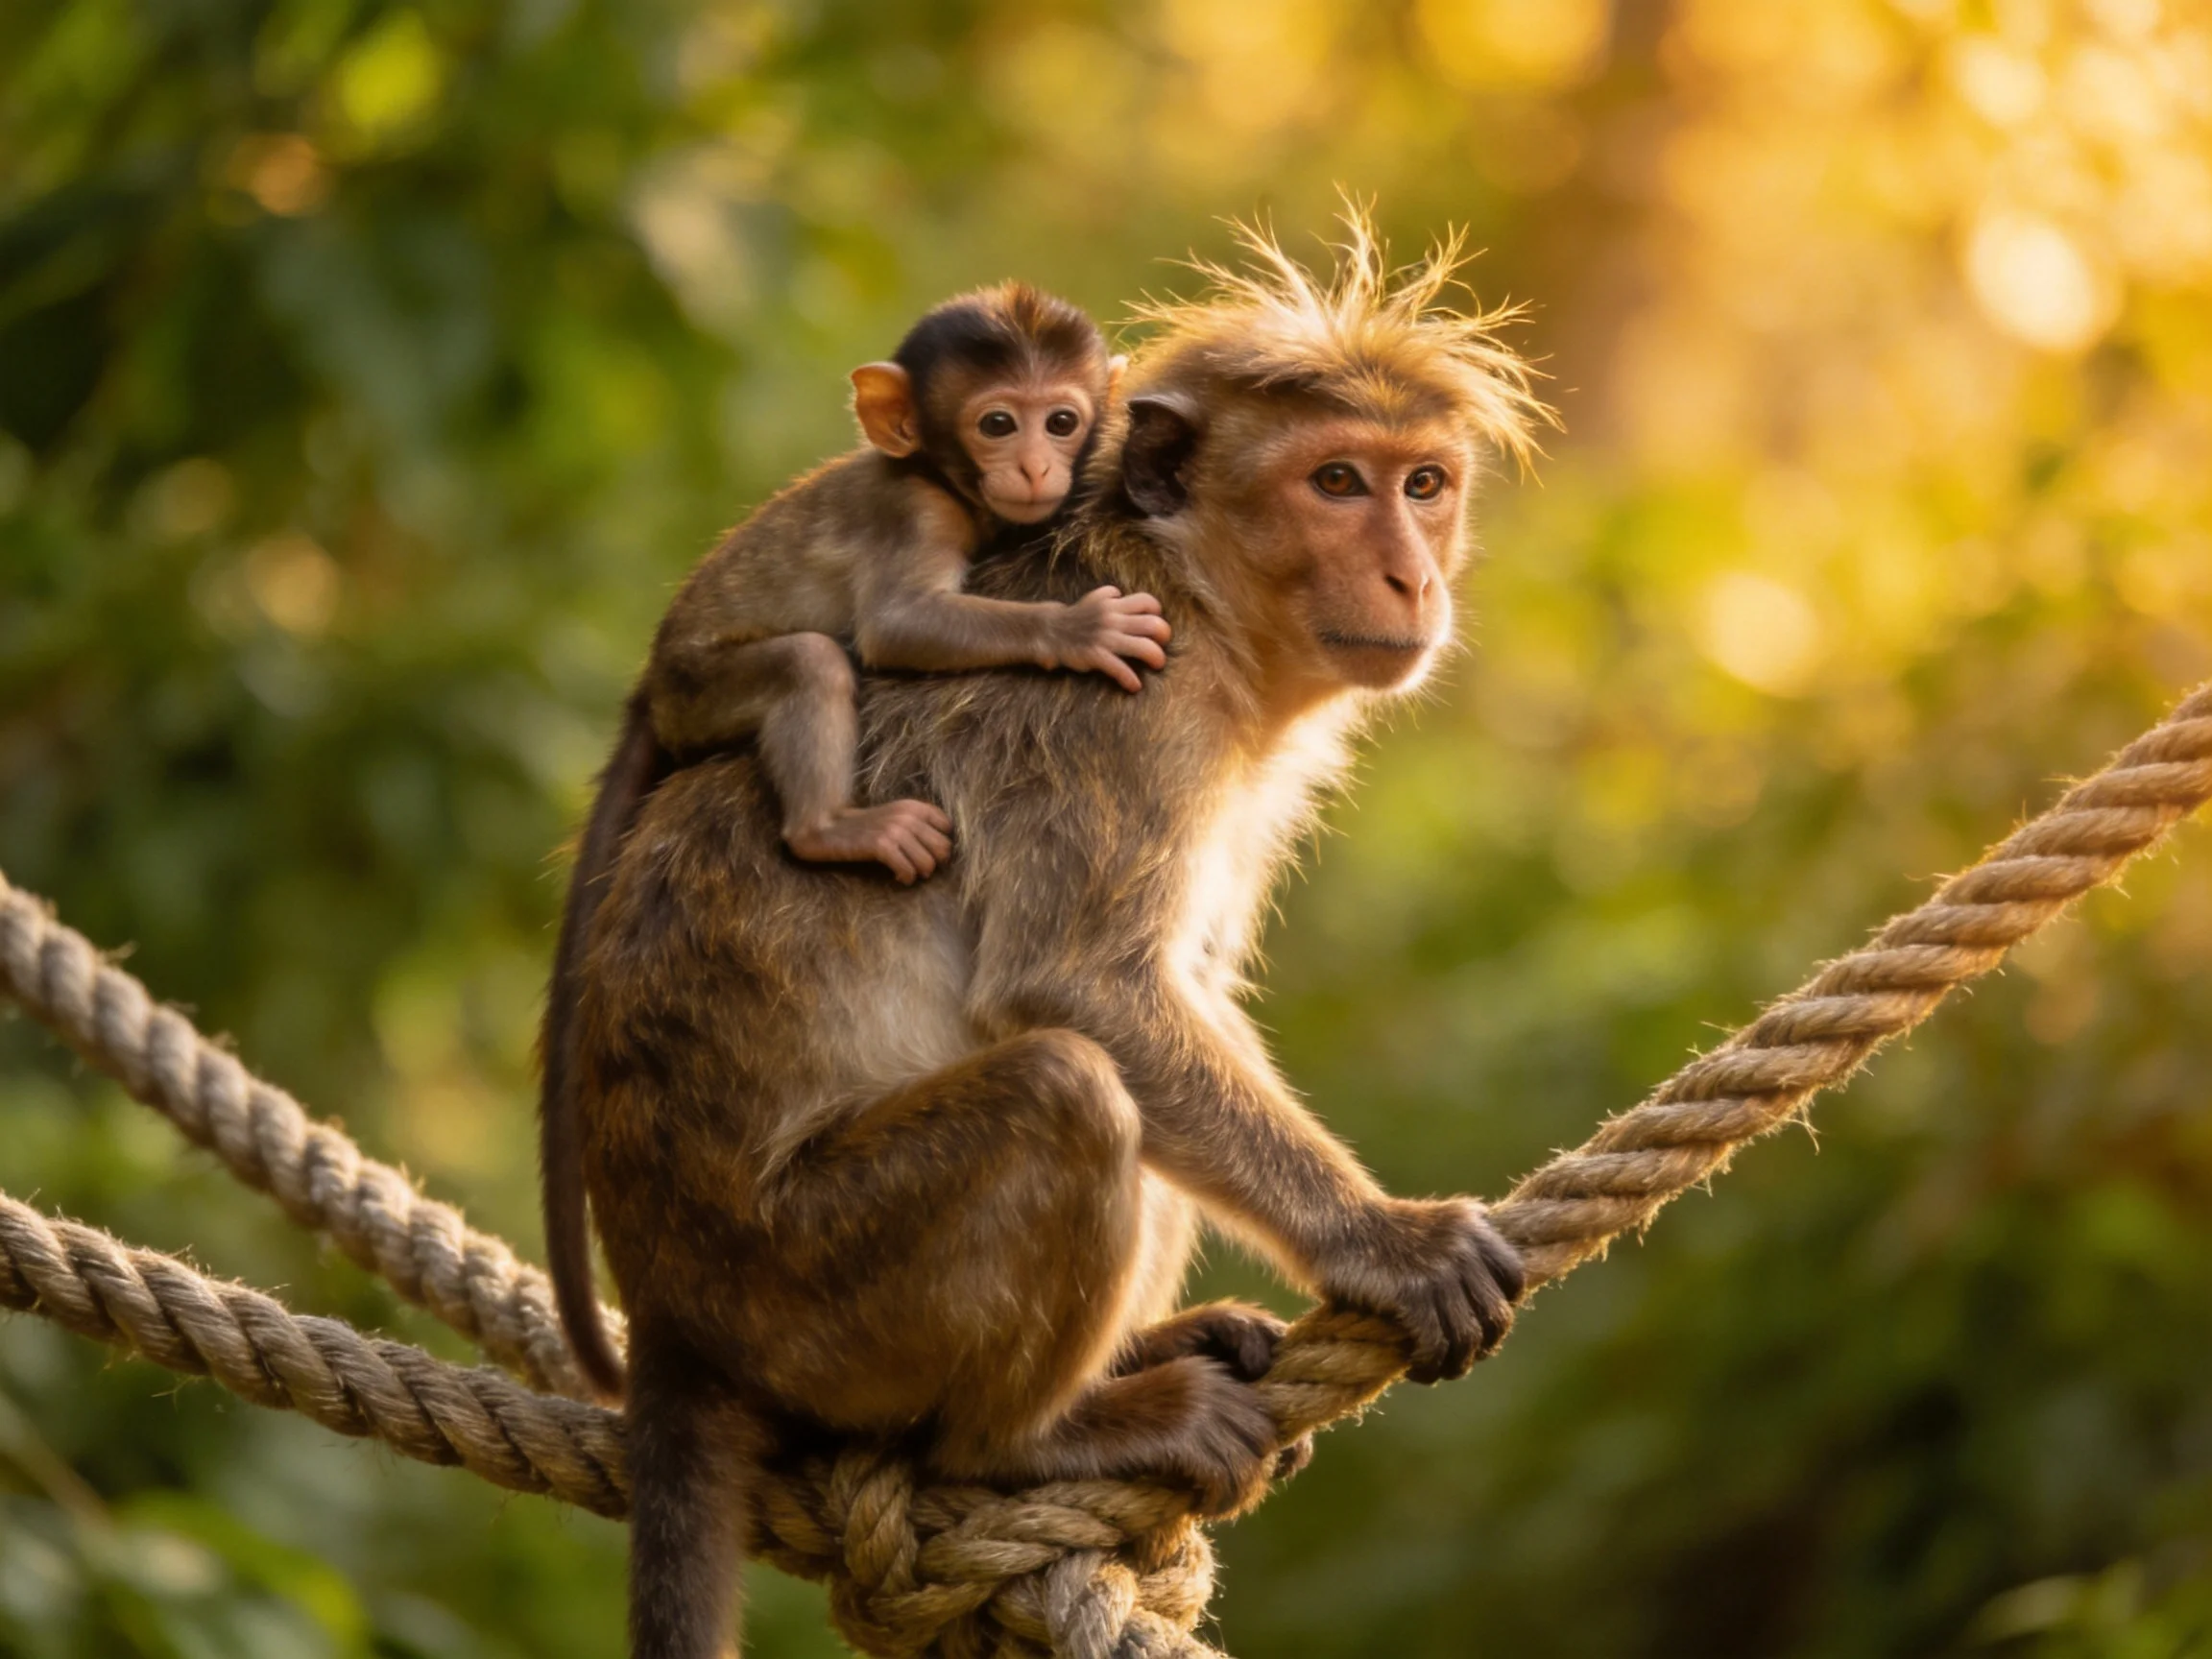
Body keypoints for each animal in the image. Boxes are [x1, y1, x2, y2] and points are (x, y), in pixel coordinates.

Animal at [537, 284, 1170, 1398]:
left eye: (1062, 418)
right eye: (997, 423)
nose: (1036, 465)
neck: (941, 478)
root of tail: (653, 680)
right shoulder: (916, 516)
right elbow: (900, 625)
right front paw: (1079, 632)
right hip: (710, 686)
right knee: (813, 663)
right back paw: (832, 828)